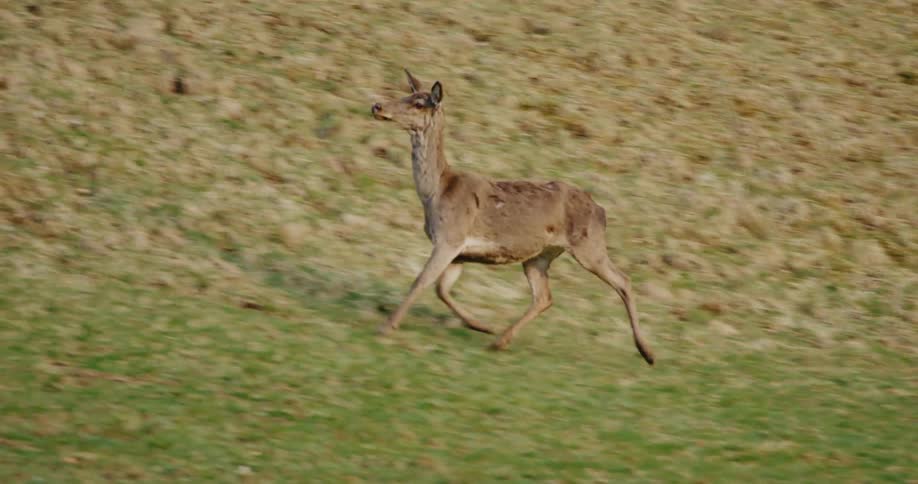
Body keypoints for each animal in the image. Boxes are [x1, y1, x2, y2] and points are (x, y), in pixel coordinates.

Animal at [370, 69, 654, 365]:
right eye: (406, 94)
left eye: (418, 103)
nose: (377, 106)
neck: (436, 192)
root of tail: (601, 210)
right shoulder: (459, 251)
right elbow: (442, 289)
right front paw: (481, 325)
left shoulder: (450, 236)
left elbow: (421, 281)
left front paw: (386, 327)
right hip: (539, 256)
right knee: (544, 297)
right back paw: (500, 340)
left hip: (589, 245)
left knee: (623, 280)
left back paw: (648, 353)